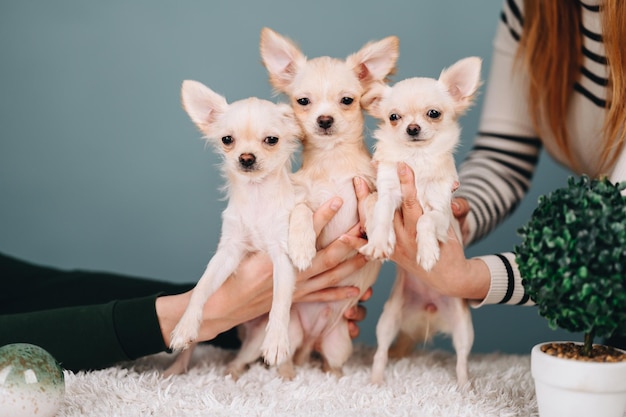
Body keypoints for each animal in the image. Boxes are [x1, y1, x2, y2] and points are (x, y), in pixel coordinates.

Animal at [167, 79, 302, 372]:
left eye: (271, 140)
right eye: (227, 140)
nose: (246, 158)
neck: (256, 196)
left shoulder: (281, 254)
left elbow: (280, 300)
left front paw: (276, 341)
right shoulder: (228, 252)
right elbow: (201, 288)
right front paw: (184, 325)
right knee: (195, 349)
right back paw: (175, 368)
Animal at [260, 27, 398, 376]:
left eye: (347, 100)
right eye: (303, 102)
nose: (324, 119)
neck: (332, 158)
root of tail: (313, 336)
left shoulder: (369, 184)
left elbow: (373, 201)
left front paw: (378, 233)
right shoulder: (300, 197)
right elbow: (300, 212)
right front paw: (302, 246)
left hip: (338, 345)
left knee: (329, 363)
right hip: (293, 332)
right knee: (286, 360)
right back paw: (288, 376)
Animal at [358, 57, 480, 386]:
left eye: (433, 114)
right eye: (393, 117)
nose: (412, 128)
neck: (416, 161)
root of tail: (428, 311)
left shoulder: (441, 212)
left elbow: (425, 220)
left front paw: (427, 253)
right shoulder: (388, 192)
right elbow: (381, 212)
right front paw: (380, 241)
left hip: (464, 327)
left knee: (462, 359)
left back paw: (465, 386)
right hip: (388, 320)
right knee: (381, 352)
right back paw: (375, 381)